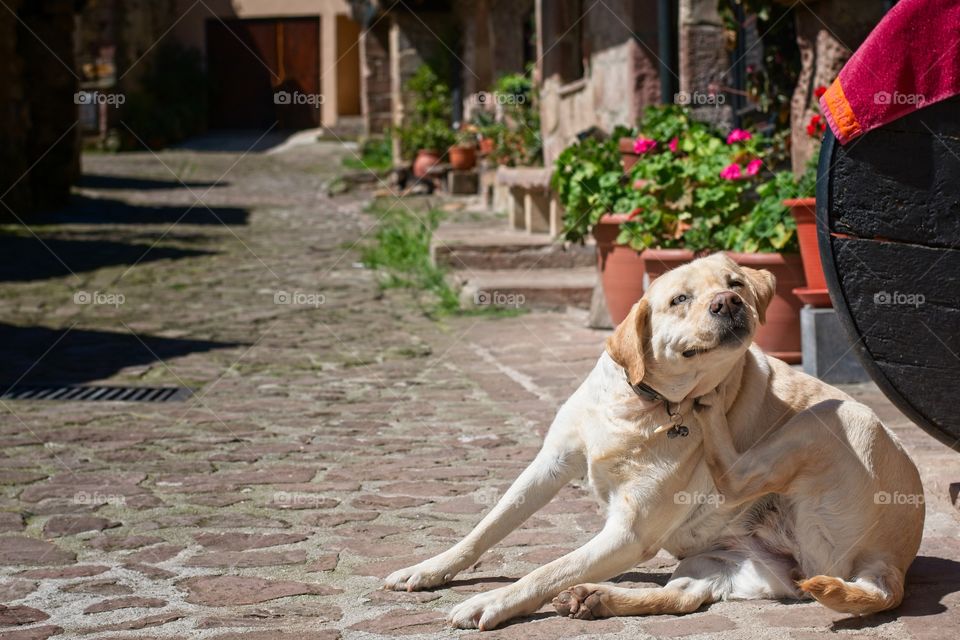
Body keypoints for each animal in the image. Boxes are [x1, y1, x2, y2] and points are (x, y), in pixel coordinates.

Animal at [382, 251, 924, 632]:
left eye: (734, 284)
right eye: (679, 300)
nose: (729, 303)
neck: (643, 406)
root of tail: (889, 569)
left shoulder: (628, 533)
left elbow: (547, 570)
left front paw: (489, 601)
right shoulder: (551, 463)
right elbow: (488, 526)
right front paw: (428, 570)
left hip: (834, 414)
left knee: (735, 475)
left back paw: (711, 414)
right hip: (725, 559)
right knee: (684, 596)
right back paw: (596, 598)